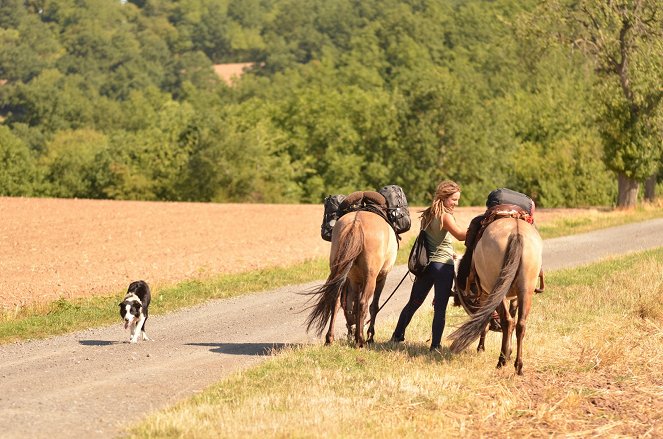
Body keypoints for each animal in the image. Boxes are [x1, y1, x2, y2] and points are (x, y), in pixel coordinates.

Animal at [308, 211, 400, 348]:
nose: (350, 331)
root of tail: (356, 223)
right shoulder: (381, 279)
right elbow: (373, 307)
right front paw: (370, 336)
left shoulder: (355, 281)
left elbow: (353, 306)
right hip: (371, 278)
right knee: (363, 304)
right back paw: (360, 340)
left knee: (335, 301)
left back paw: (330, 338)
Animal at [448, 217, 544, 374]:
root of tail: (516, 232)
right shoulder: (514, 297)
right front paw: (509, 351)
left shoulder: (485, 296)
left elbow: (486, 321)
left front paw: (481, 348)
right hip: (525, 289)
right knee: (520, 324)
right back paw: (518, 365)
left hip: (497, 289)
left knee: (507, 321)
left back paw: (501, 360)